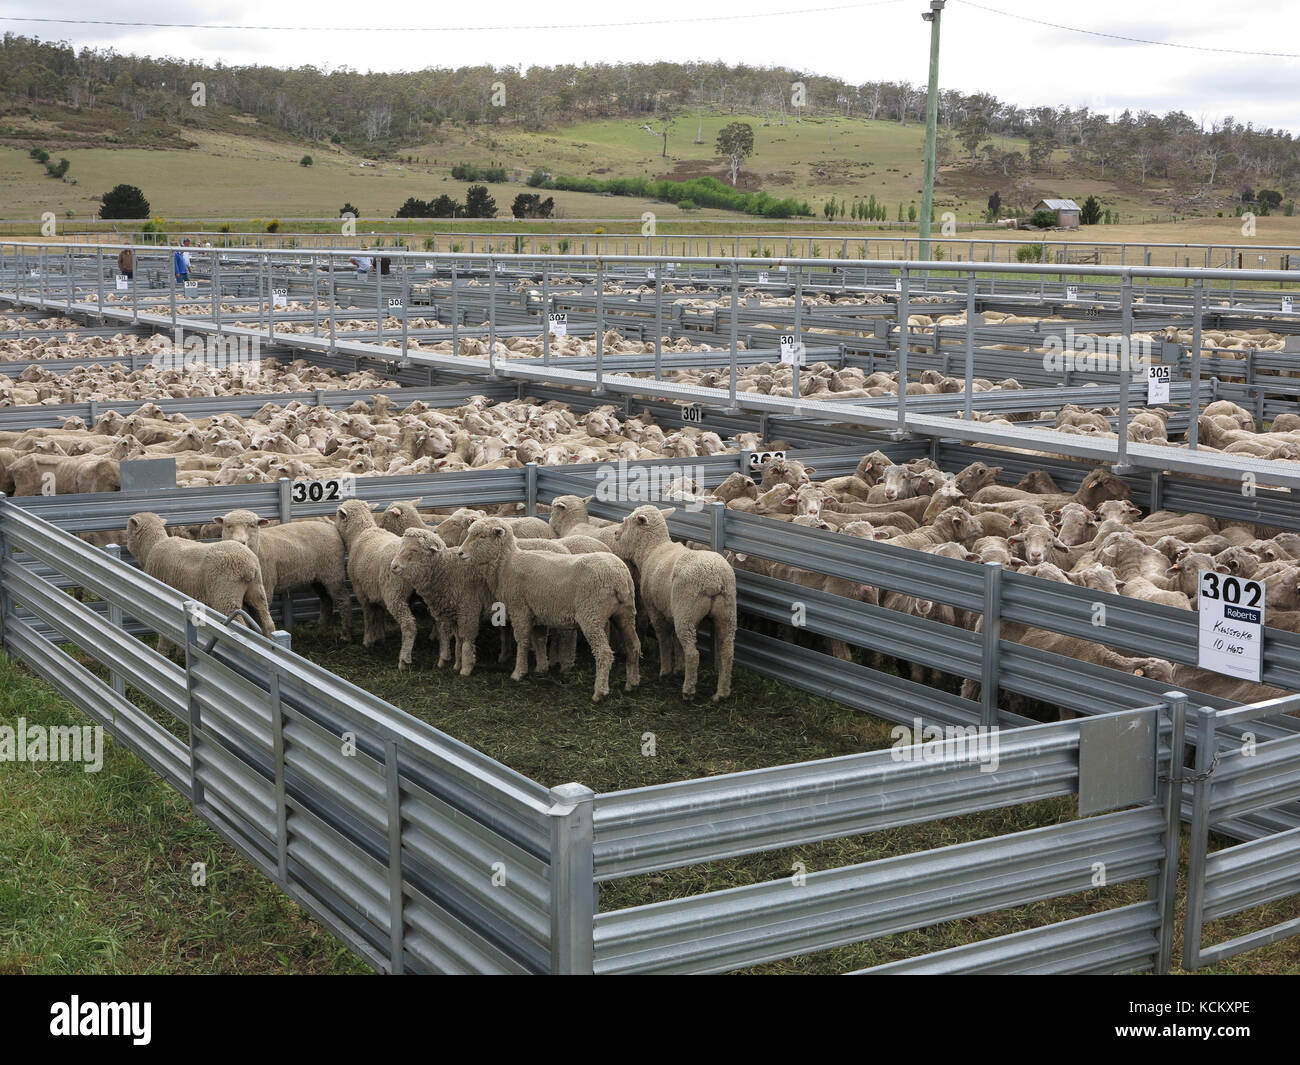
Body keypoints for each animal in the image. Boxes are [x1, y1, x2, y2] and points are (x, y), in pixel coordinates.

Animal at [124, 512, 274, 652]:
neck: (153, 546)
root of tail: (248, 565)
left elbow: (165, 635)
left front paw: (162, 652)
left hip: (225, 595)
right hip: (257, 591)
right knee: (267, 624)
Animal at [215, 509, 353, 642]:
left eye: (252, 526)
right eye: (228, 526)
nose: (240, 542)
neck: (260, 547)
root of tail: (331, 526)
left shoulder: (266, 587)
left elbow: (260, 616)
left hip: (333, 572)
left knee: (343, 599)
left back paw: (345, 634)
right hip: (318, 578)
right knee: (326, 599)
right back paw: (321, 627)